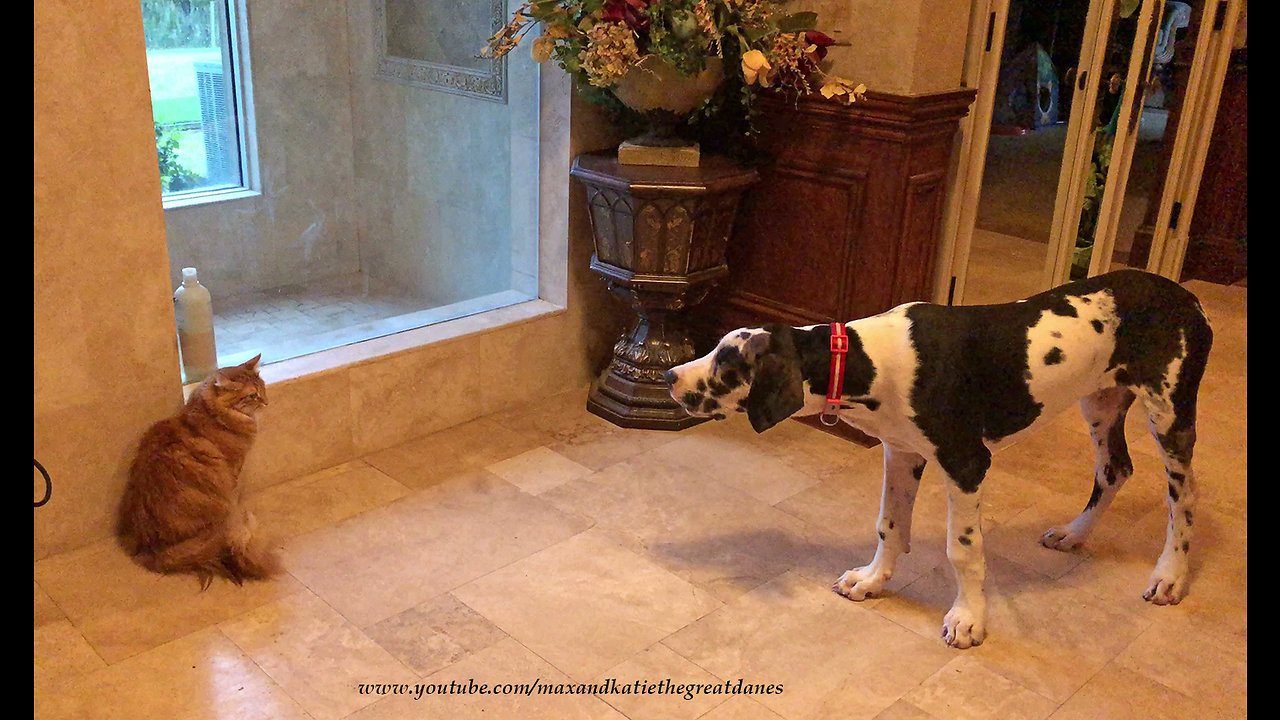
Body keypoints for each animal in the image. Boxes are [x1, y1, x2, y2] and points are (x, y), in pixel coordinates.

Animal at [118, 353, 280, 589]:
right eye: (252, 395)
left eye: (263, 388)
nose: (266, 402)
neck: (210, 414)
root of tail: (153, 550)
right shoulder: (234, 472)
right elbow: (236, 498)